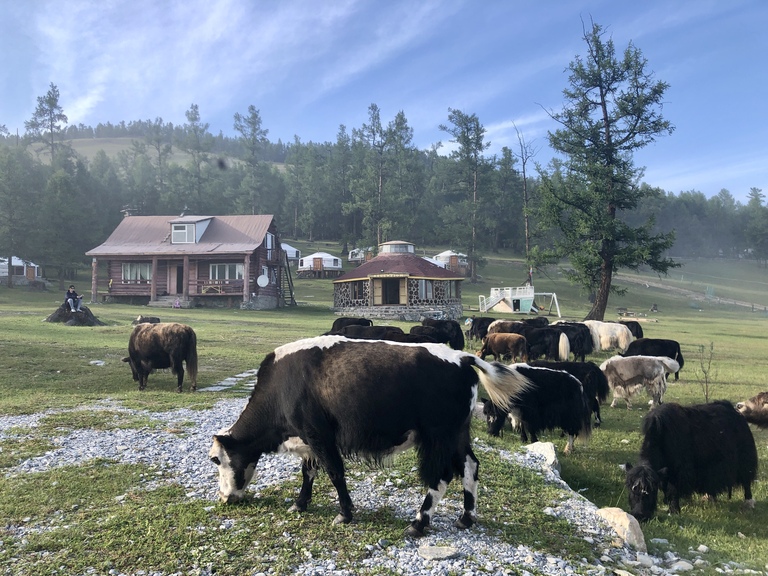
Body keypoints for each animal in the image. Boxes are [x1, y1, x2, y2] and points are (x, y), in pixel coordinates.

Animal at [628, 400, 760, 520]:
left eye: (650, 491)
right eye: (631, 490)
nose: (639, 516)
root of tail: (737, 414)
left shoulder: (678, 472)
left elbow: (672, 490)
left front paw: (674, 510)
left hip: (745, 461)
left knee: (746, 481)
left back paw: (748, 503)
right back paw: (710, 498)